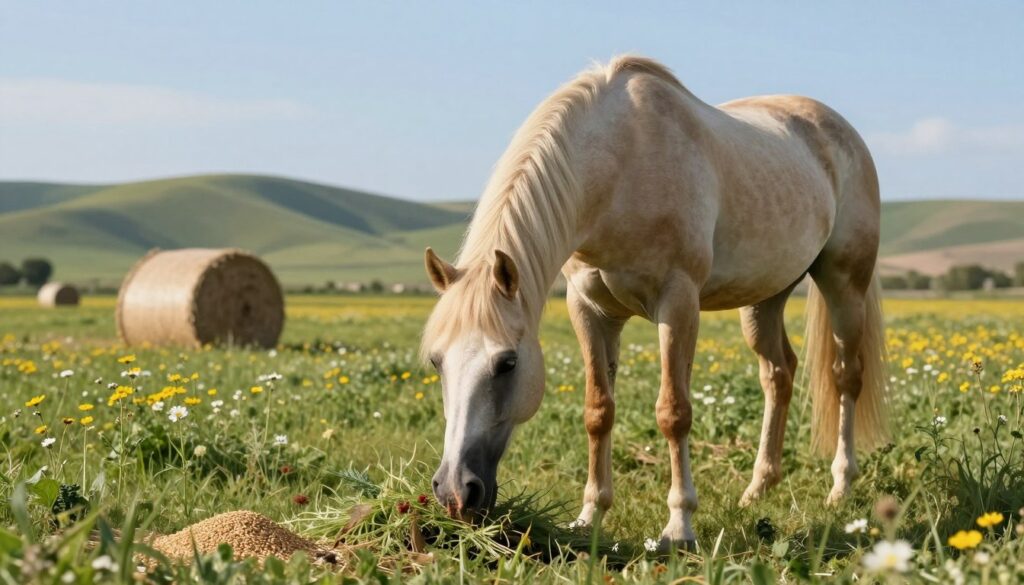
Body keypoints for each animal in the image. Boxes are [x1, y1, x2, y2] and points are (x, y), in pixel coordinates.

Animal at [420, 55, 888, 549]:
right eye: (436, 361)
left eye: (507, 363)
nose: (455, 492)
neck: (620, 167)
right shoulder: (590, 311)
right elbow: (598, 411)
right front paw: (590, 515)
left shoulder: (677, 302)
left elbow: (673, 412)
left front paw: (679, 527)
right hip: (765, 298)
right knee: (778, 374)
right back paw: (757, 490)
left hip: (844, 284)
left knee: (845, 376)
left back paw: (840, 486)